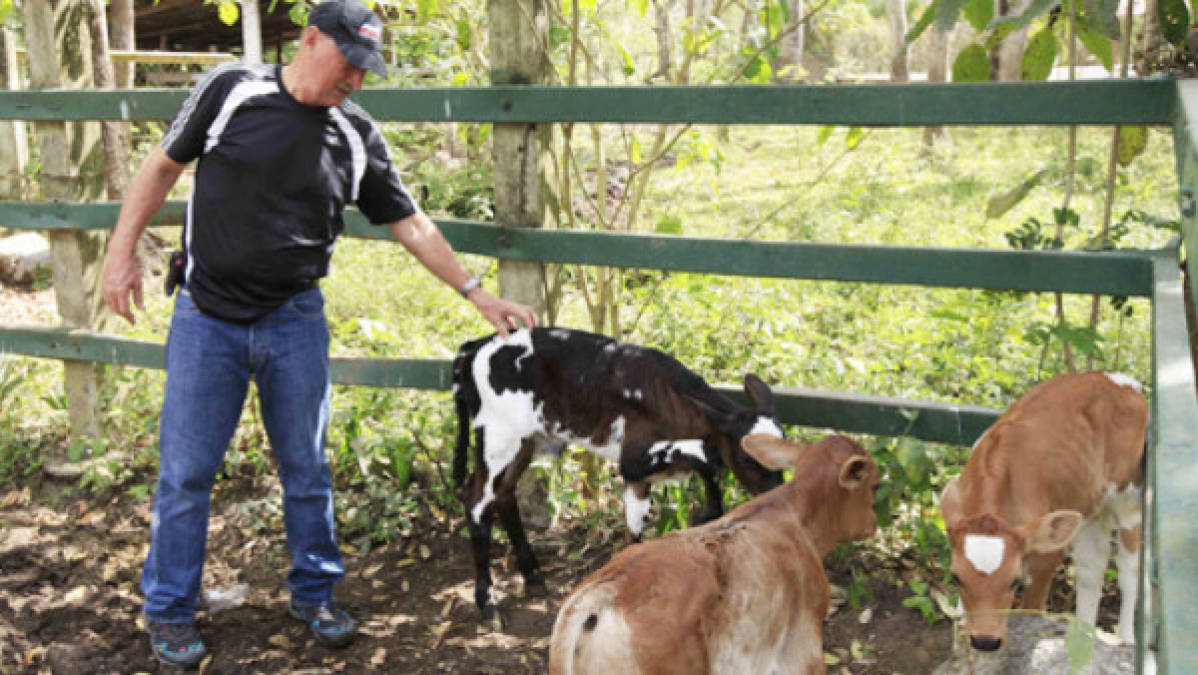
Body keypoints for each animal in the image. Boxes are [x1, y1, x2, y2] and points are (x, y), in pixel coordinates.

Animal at [450, 328, 785, 623]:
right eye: (747, 457)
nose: (777, 493)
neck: (669, 399)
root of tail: (475, 346)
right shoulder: (633, 460)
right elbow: (704, 456)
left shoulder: (640, 478)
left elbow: (635, 528)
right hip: (499, 437)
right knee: (476, 500)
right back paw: (488, 604)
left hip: (525, 440)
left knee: (505, 493)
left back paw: (532, 577)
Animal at [939, 371, 1145, 652]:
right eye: (955, 578)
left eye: (1014, 581)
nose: (985, 641)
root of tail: (1117, 380)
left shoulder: (1047, 557)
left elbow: (1032, 612)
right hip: (1090, 506)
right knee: (1092, 568)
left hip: (1129, 501)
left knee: (1129, 571)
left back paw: (1126, 638)